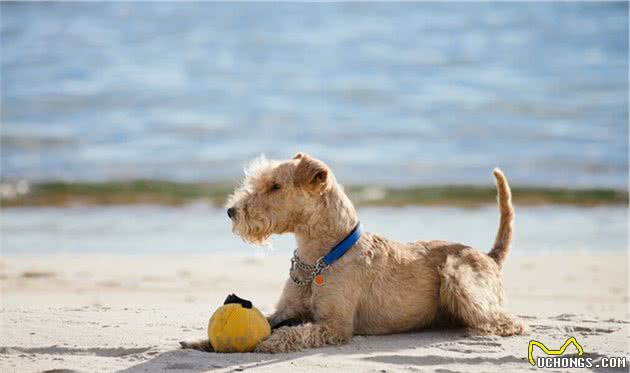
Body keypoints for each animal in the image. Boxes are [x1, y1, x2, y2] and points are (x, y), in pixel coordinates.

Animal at [183, 151, 528, 352]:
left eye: (275, 186)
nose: (231, 211)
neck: (320, 257)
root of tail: (490, 257)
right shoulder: (286, 310)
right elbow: (268, 320)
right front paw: (202, 340)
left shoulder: (335, 325)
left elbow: (290, 333)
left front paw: (269, 342)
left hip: (457, 275)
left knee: (508, 321)